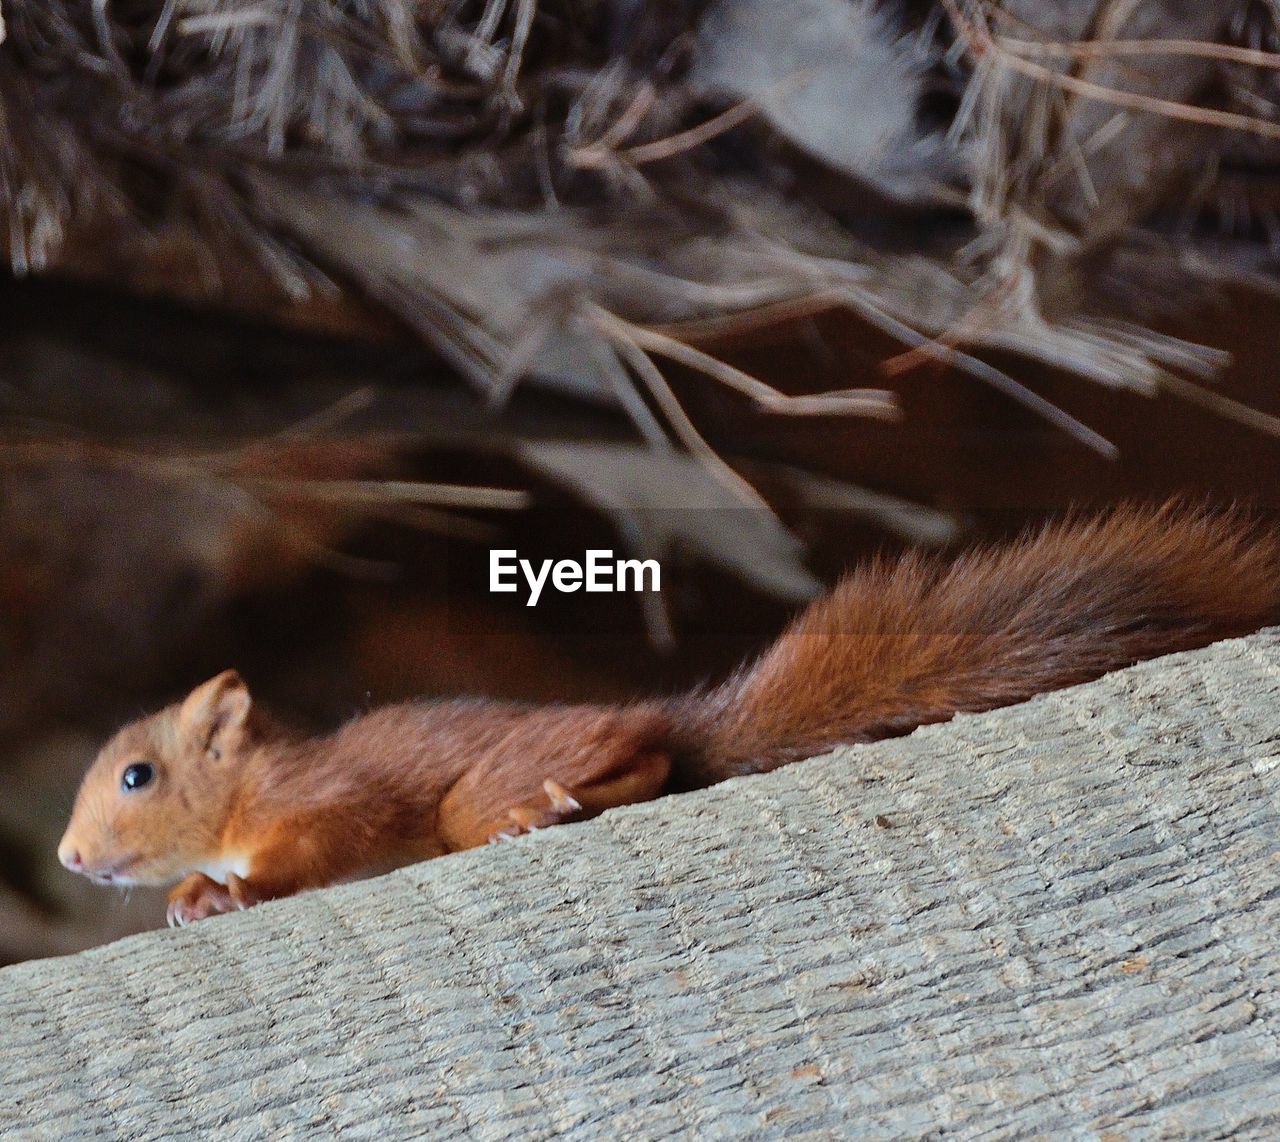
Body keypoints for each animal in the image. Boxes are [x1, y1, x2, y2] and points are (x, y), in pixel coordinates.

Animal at [55, 504, 1280, 921]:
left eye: (138, 775)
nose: (66, 857)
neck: (246, 791)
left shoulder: (325, 801)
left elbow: (308, 851)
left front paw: (223, 891)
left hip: (484, 788)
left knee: (642, 759)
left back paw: (554, 806)